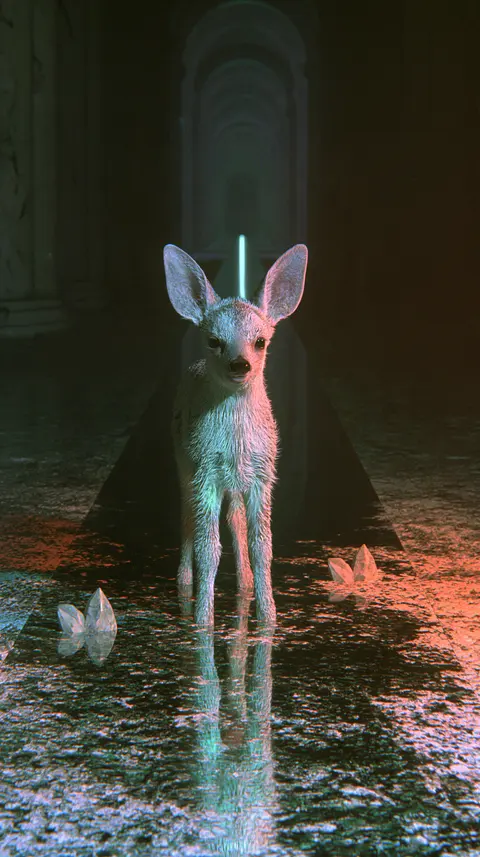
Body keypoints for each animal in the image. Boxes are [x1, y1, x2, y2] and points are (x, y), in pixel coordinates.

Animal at [163, 242, 308, 627]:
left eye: (260, 341)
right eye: (214, 340)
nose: (239, 364)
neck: (236, 443)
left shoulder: (262, 476)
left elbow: (263, 546)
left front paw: (269, 617)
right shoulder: (204, 473)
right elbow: (208, 548)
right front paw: (203, 620)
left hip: (237, 483)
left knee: (236, 521)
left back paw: (244, 584)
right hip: (183, 464)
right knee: (186, 519)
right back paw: (184, 581)